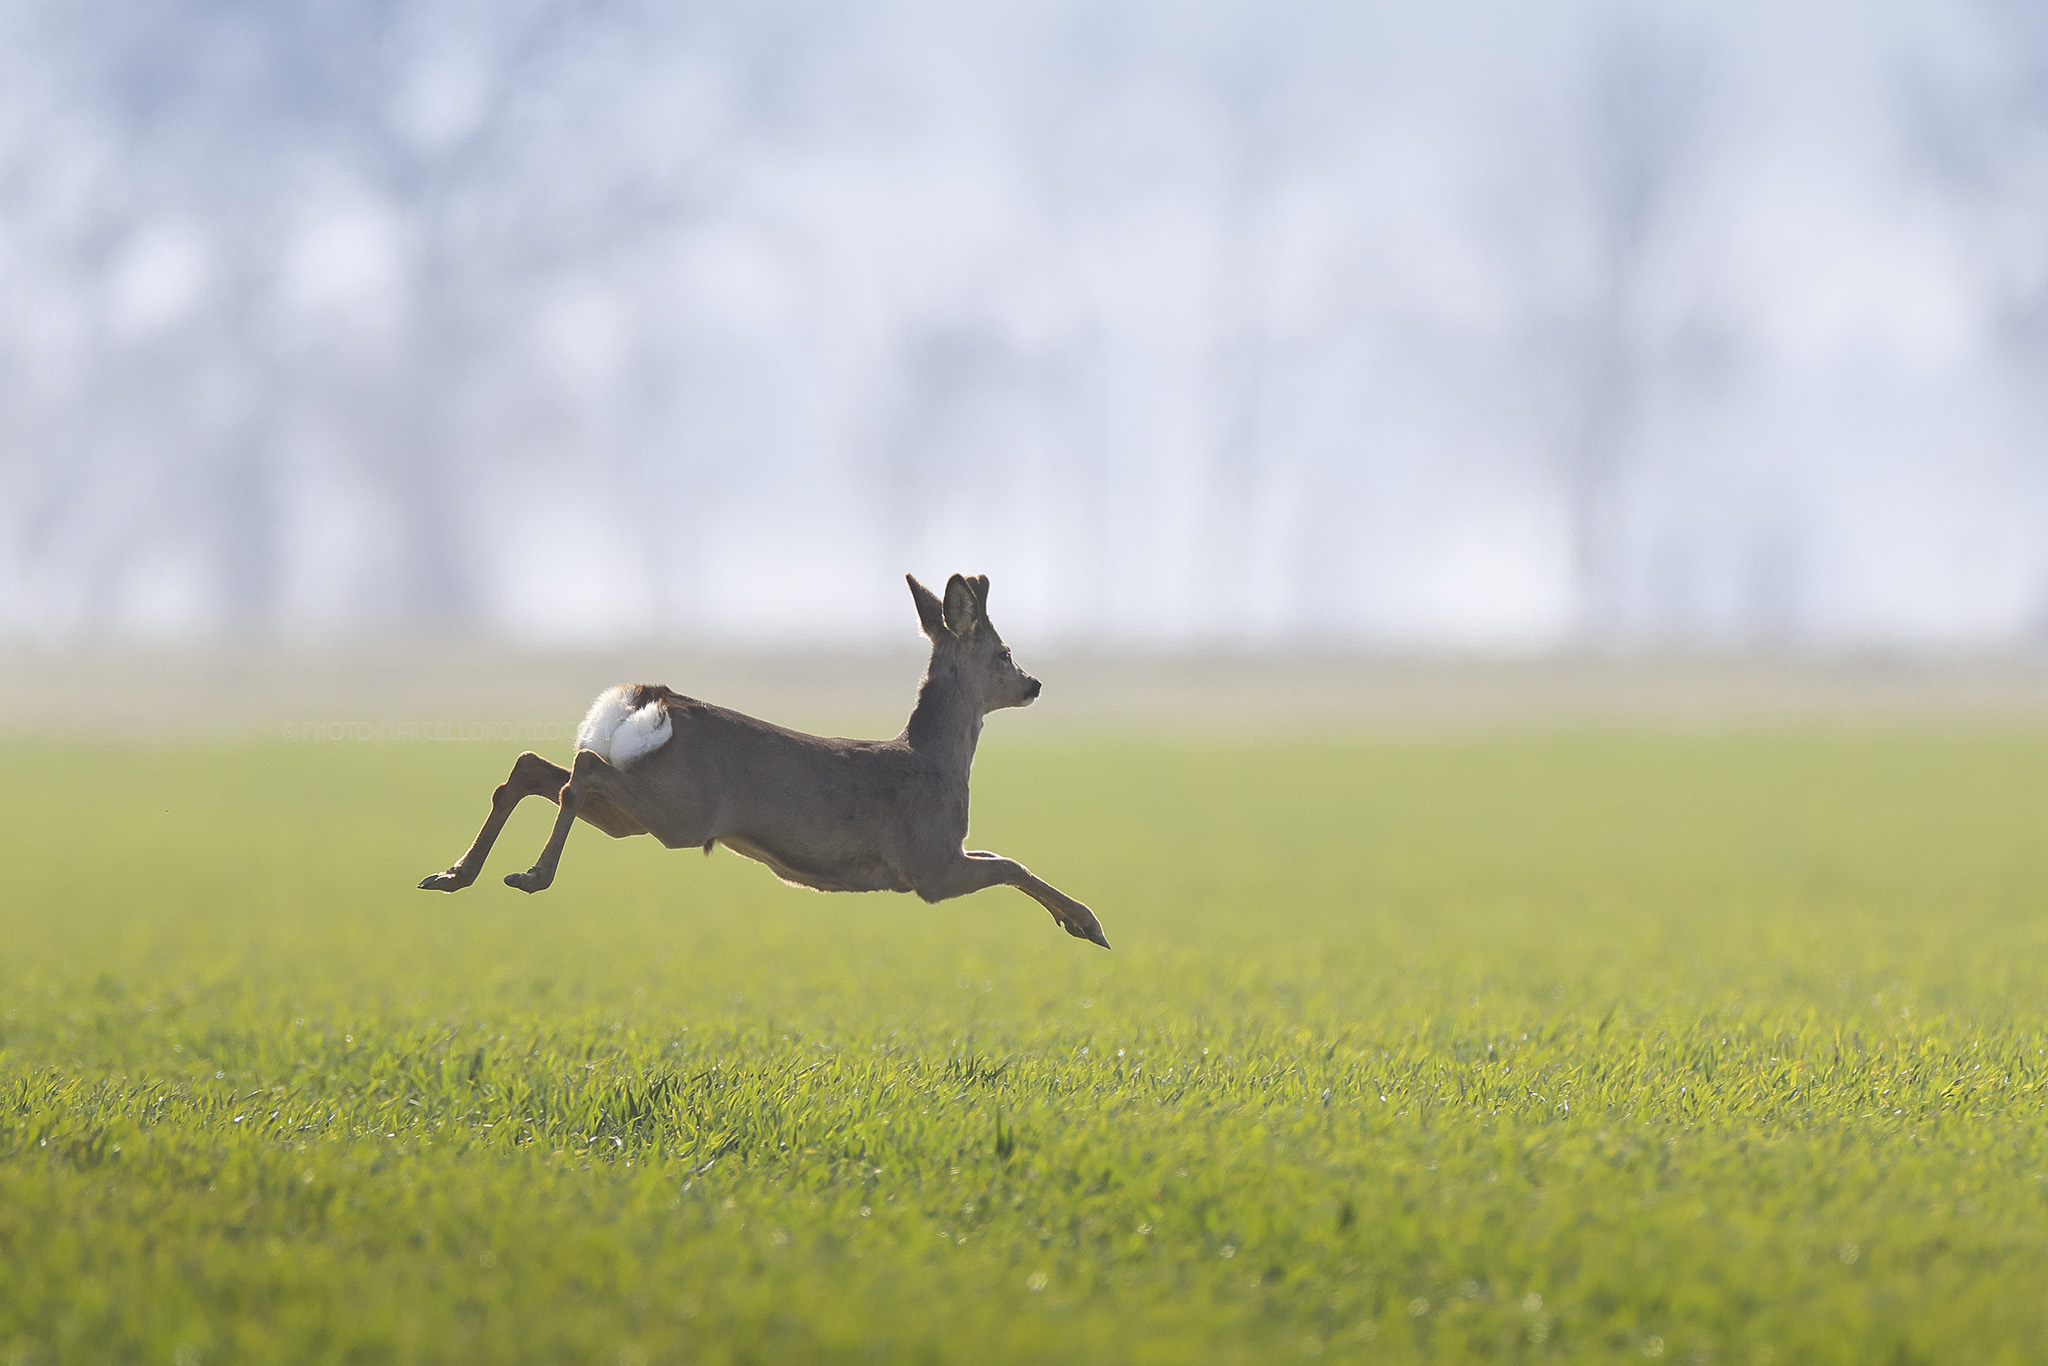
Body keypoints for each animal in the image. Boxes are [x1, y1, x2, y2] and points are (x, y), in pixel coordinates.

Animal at [417, 573, 1110, 948]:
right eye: (1004, 652)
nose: (1034, 684)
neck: (937, 762)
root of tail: (648, 698)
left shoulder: (944, 853)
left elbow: (1001, 854)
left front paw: (1079, 921)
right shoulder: (928, 865)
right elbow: (1012, 863)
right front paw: (1086, 922)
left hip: (637, 810)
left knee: (535, 765)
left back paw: (454, 874)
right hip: (680, 811)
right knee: (580, 772)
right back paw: (530, 875)